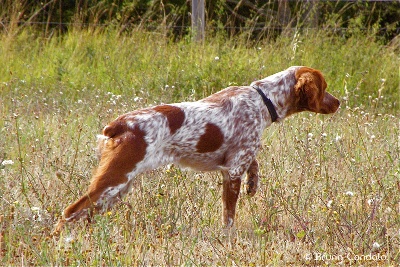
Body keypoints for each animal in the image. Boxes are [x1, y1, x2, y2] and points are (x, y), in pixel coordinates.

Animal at [53, 66, 340, 233]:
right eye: (325, 88)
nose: (338, 102)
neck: (263, 100)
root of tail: (120, 123)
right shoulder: (232, 172)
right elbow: (229, 216)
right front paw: (228, 239)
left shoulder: (238, 161)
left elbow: (255, 162)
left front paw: (254, 183)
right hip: (115, 179)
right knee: (69, 213)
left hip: (119, 187)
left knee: (86, 215)